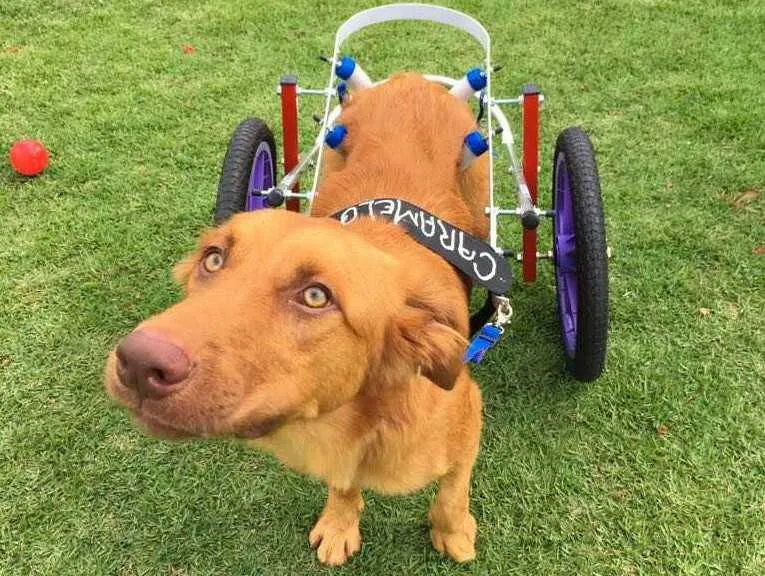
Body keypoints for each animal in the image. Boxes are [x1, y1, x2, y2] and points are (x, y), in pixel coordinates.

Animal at [104, 74, 490, 564]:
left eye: (315, 296)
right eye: (213, 259)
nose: (137, 362)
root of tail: (412, 80)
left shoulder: (468, 417)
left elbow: (452, 494)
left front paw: (454, 533)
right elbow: (344, 484)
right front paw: (340, 522)